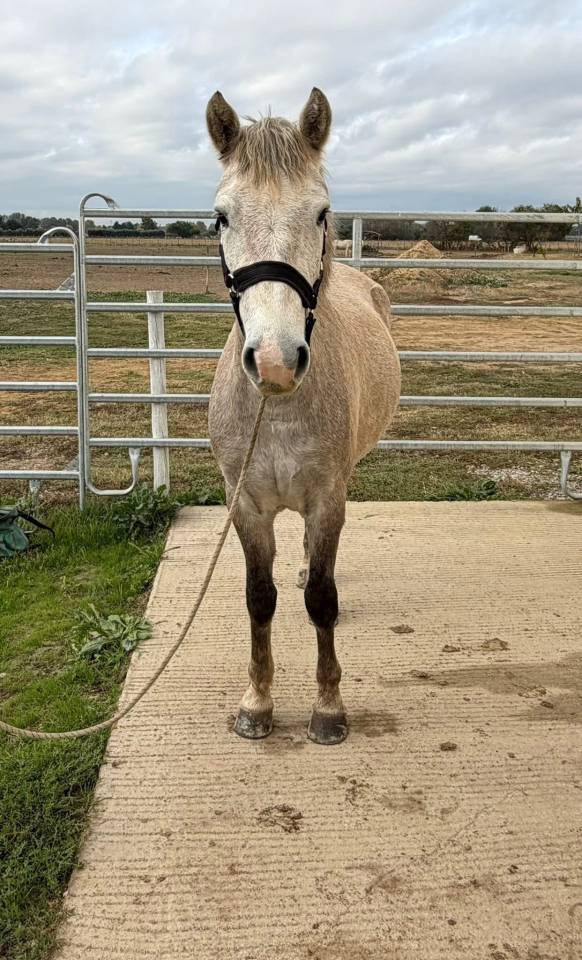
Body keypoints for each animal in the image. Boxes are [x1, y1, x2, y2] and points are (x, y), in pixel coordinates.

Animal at [207, 88, 401, 744]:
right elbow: (258, 598)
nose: (274, 360)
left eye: (320, 213)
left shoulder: (326, 500)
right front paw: (257, 703)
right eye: (221, 217)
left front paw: (328, 709)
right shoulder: (245, 505)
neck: (280, 408)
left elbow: (322, 599)